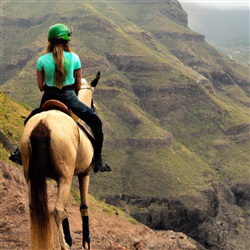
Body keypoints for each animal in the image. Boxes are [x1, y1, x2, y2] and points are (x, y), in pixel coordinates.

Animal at [19, 71, 101, 249]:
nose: (95, 107)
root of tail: (42, 124)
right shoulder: (84, 173)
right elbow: (84, 207)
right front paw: (86, 242)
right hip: (66, 177)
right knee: (58, 211)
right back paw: (66, 244)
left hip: (31, 176)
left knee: (37, 209)